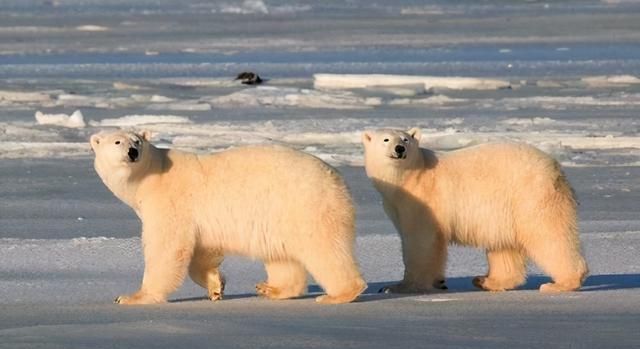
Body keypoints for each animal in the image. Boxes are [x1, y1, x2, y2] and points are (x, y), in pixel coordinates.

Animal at [89, 129, 364, 304]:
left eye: (137, 141)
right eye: (117, 142)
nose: (132, 152)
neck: (150, 176)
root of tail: (337, 179)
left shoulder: (169, 202)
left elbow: (166, 248)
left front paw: (132, 297)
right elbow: (202, 251)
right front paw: (215, 287)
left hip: (306, 206)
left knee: (324, 249)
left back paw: (337, 294)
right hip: (279, 215)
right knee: (281, 256)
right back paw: (271, 288)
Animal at [362, 126, 588, 292]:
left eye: (405, 139)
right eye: (386, 140)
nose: (399, 149)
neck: (409, 177)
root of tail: (555, 168)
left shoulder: (424, 199)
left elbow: (421, 240)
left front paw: (398, 287)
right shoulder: (395, 204)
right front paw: (437, 281)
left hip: (531, 196)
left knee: (549, 234)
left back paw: (560, 283)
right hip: (505, 209)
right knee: (503, 246)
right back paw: (486, 281)